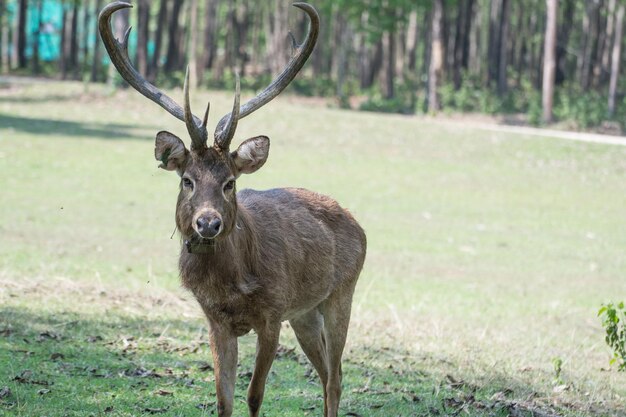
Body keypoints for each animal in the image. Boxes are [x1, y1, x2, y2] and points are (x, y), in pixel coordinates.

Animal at [100, 3, 366, 416]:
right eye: (187, 180)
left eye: (230, 182)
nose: (208, 222)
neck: (231, 286)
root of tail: (359, 226)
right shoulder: (216, 321)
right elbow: (223, 399)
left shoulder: (273, 313)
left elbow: (254, 394)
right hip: (305, 314)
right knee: (325, 373)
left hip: (341, 293)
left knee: (336, 376)